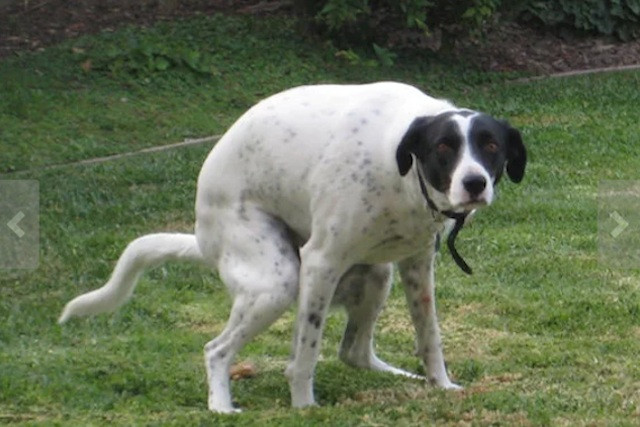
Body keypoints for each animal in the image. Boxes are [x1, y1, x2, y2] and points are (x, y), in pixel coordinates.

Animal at [58, 82, 524, 412]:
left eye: (490, 146)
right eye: (444, 147)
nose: (475, 183)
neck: (400, 168)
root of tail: (203, 239)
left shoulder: (417, 265)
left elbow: (430, 337)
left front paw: (440, 385)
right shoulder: (320, 263)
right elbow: (305, 354)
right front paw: (304, 408)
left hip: (376, 275)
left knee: (353, 351)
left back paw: (397, 376)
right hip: (277, 282)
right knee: (216, 350)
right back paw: (221, 406)